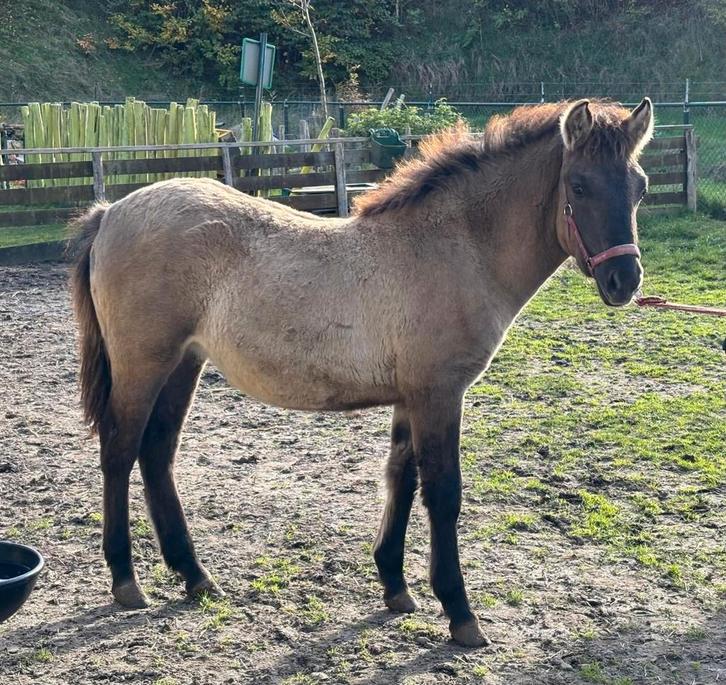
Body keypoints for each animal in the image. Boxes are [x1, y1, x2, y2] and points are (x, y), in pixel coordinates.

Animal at [69, 98, 653, 647]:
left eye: (640, 187)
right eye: (579, 184)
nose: (624, 280)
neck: (454, 247)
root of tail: (112, 212)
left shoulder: (411, 397)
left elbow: (401, 477)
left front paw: (395, 586)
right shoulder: (440, 394)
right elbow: (443, 494)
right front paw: (460, 614)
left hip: (182, 365)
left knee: (156, 454)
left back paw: (194, 576)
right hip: (144, 364)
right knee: (120, 452)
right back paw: (126, 580)